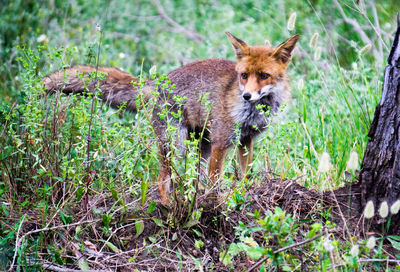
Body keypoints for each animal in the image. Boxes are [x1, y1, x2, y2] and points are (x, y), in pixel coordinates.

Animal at [44, 31, 300, 205]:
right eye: (244, 75)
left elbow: (244, 175)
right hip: (176, 143)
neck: (253, 111)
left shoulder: (246, 140)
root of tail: (156, 82)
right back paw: (168, 209)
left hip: (201, 145)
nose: (247, 95)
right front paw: (215, 203)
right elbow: (215, 181)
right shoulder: (220, 141)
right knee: (161, 180)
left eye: (264, 76)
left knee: (190, 177)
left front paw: (242, 195)